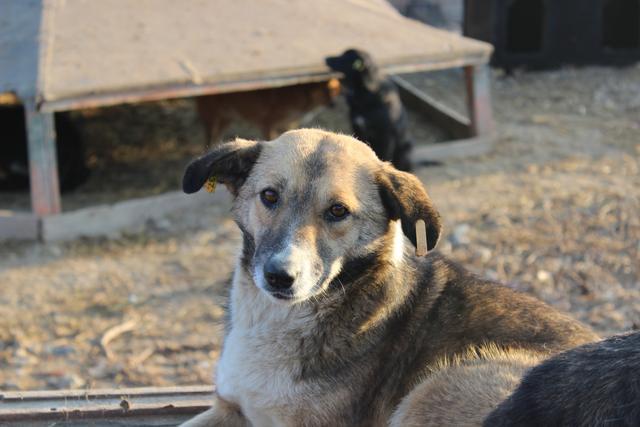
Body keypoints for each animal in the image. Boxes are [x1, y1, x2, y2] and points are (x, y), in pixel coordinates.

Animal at [179, 129, 596, 426]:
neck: (275, 320)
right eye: (269, 196)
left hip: (435, 388)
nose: (280, 277)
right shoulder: (231, 407)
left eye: (338, 211)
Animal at [196, 80, 340, 145]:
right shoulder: (267, 124)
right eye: (325, 90)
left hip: (227, 119)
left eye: (334, 90)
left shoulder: (289, 127)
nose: (334, 104)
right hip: (212, 119)